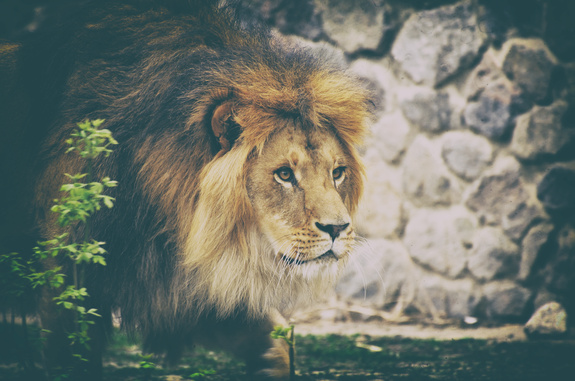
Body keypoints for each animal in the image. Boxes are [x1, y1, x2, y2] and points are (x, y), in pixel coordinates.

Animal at [0, 1, 368, 378]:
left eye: (337, 173)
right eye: (283, 175)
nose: (338, 229)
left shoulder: (184, 289)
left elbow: (278, 344)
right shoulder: (68, 273)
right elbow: (70, 359)